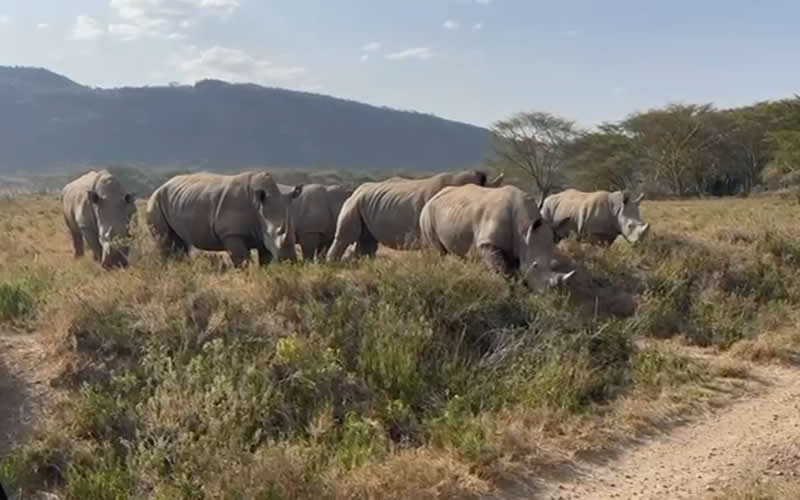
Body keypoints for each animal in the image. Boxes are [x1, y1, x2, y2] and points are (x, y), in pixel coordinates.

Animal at [146, 171, 302, 267]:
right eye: (271, 233)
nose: (290, 262)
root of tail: (161, 186)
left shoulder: (261, 236)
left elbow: (265, 262)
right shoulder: (232, 234)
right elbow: (242, 262)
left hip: (178, 198)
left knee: (180, 245)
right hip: (155, 201)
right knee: (165, 243)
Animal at [420, 184, 574, 291]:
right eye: (535, 266)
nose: (548, 292)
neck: (525, 231)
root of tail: (433, 196)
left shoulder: (516, 247)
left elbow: (515, 272)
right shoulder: (489, 243)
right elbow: (502, 273)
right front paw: (509, 294)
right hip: (427, 213)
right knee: (439, 251)